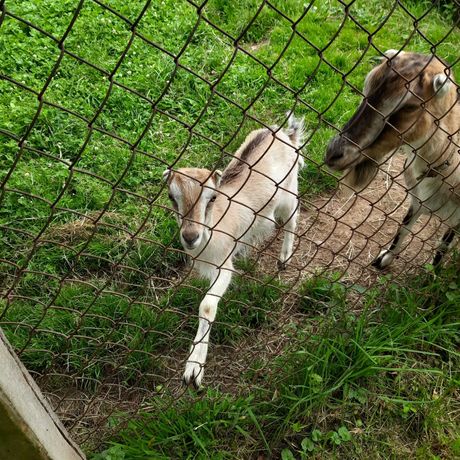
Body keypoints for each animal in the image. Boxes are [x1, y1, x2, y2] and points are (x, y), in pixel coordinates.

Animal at [164, 114, 304, 384]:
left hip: (289, 192)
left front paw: (194, 369)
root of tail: (284, 133)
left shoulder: (224, 263)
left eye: (212, 198)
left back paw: (284, 257)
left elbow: (207, 305)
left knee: (292, 219)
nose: (190, 236)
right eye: (171, 197)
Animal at [326, 51, 458, 270]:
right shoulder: (416, 198)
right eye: (366, 87)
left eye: (410, 107)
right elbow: (403, 227)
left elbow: (443, 244)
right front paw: (384, 258)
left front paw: (433, 271)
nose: (333, 153)